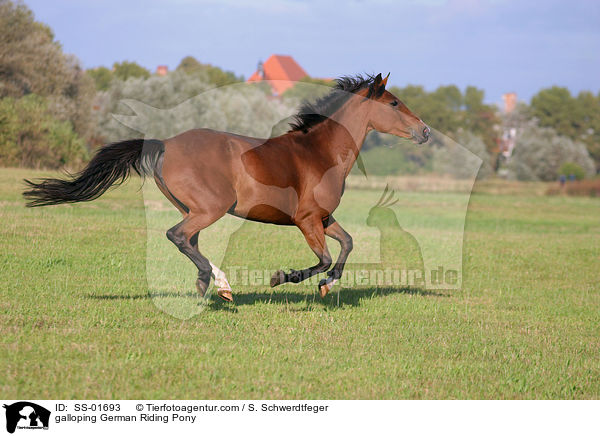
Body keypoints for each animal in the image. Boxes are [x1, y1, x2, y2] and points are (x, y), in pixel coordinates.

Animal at [22, 72, 426, 304]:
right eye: (394, 103)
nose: (425, 131)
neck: (320, 153)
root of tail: (165, 143)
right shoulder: (307, 219)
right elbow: (326, 258)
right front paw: (282, 278)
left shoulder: (324, 218)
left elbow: (347, 245)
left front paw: (327, 286)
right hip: (210, 207)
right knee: (178, 236)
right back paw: (213, 283)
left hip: (193, 209)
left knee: (189, 240)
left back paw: (217, 287)